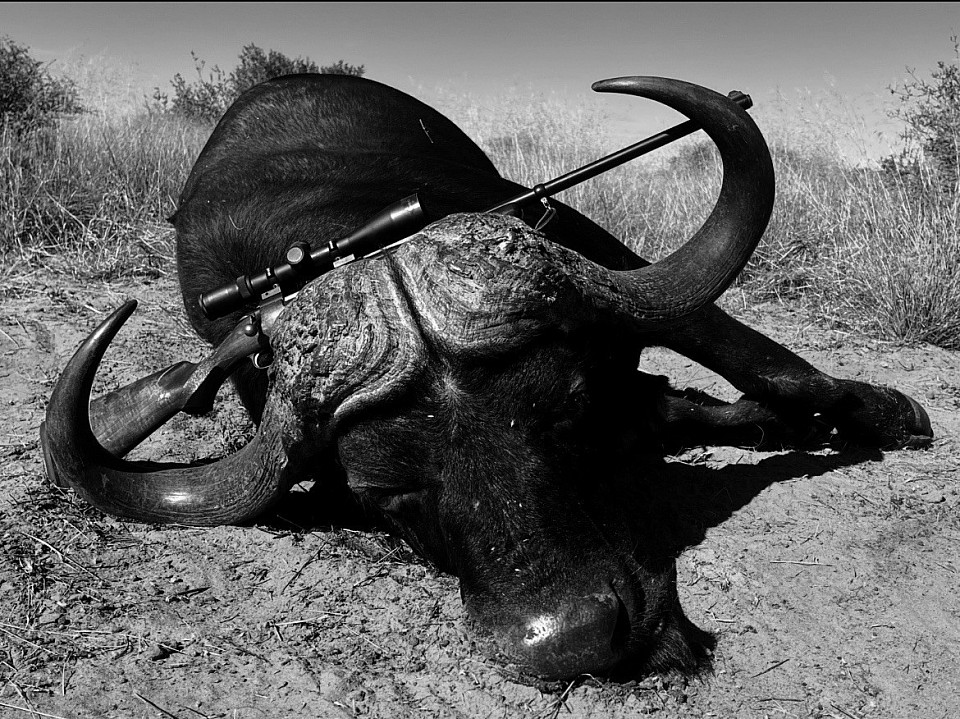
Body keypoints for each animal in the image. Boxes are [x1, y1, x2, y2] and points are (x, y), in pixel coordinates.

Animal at [41, 74, 932, 680]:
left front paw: (882, 411)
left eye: (567, 418)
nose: (570, 639)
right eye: (387, 497)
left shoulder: (597, 255)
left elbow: (763, 363)